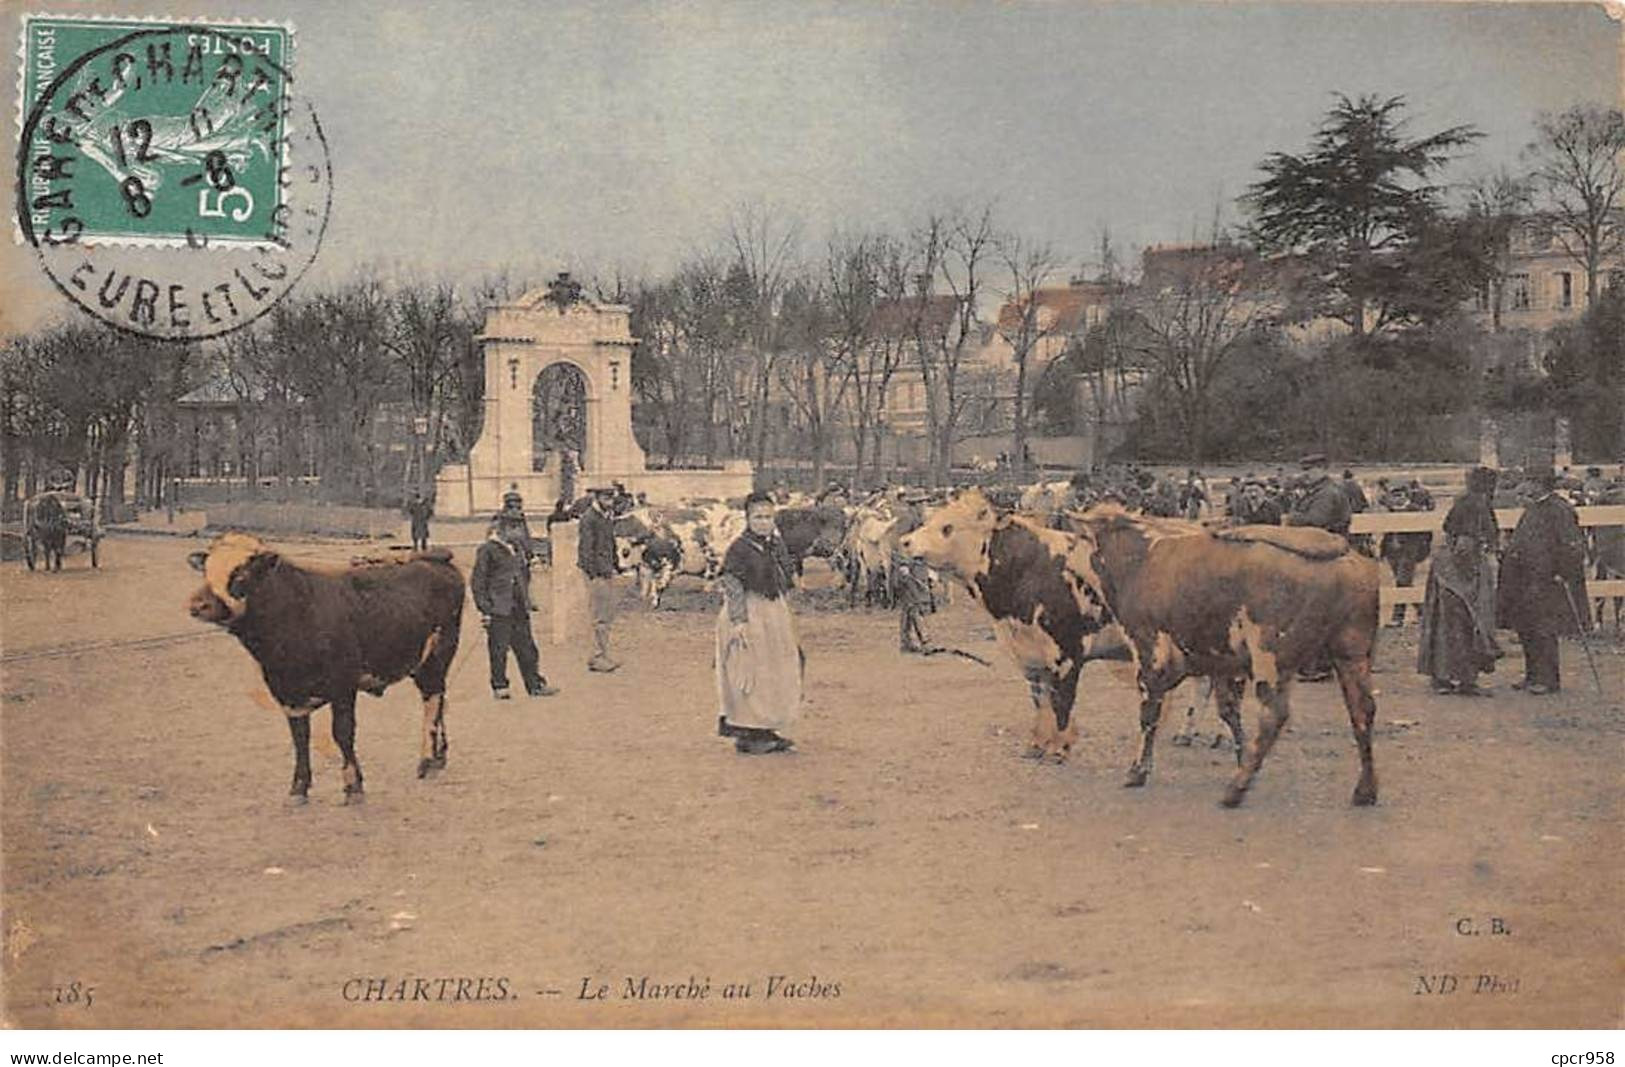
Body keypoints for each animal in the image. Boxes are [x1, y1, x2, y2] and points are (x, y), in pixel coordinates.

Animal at [186, 529, 464, 799]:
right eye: (206, 570)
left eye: (241, 574)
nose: (198, 604)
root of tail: (434, 559)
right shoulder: (287, 693)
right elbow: (299, 737)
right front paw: (299, 786)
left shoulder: (343, 686)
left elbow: (342, 732)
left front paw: (353, 784)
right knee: (440, 700)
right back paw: (439, 755)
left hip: (437, 656)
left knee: (432, 701)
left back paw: (427, 760)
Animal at [1066, 506, 1384, 808]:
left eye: (1077, 538)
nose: (1067, 564)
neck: (1140, 560)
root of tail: (1336, 549)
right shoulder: (1220, 663)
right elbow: (1229, 711)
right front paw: (1241, 756)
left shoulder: (1149, 651)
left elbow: (1149, 713)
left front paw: (1137, 771)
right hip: (1351, 654)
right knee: (1362, 710)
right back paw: (1365, 790)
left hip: (1270, 658)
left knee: (1274, 716)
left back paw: (1236, 789)